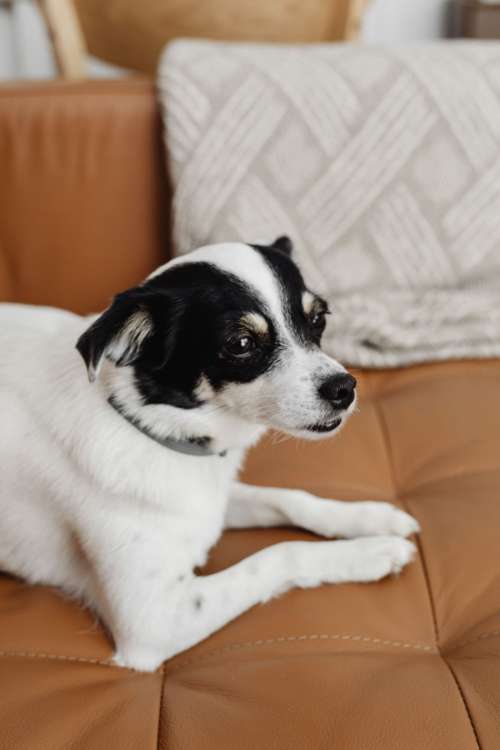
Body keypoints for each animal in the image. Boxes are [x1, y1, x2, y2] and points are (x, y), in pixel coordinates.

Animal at [0, 238, 418, 672]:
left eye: (318, 319)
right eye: (241, 344)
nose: (344, 388)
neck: (149, 426)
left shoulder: (211, 499)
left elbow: (289, 499)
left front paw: (370, 519)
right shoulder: (153, 621)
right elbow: (280, 554)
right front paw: (373, 552)